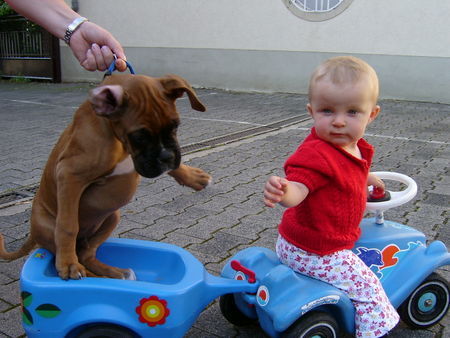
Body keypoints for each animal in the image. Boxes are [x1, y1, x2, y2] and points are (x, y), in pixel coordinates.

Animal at [0, 72, 211, 278]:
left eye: (175, 126)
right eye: (139, 136)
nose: (167, 157)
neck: (116, 137)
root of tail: (33, 232)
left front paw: (192, 176)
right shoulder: (69, 174)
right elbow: (68, 225)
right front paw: (68, 264)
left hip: (112, 217)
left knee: (86, 254)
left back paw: (116, 273)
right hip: (51, 226)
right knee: (76, 252)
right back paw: (85, 271)